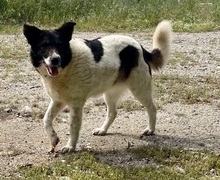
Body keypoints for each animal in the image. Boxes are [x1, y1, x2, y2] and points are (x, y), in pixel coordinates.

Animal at [23, 20, 172, 153]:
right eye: (44, 46)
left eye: (60, 45)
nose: (55, 59)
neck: (68, 64)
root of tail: (140, 47)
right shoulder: (58, 101)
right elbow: (46, 119)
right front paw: (53, 139)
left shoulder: (76, 105)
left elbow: (73, 127)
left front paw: (70, 147)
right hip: (110, 92)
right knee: (112, 113)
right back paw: (102, 130)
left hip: (139, 89)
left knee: (152, 108)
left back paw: (150, 129)